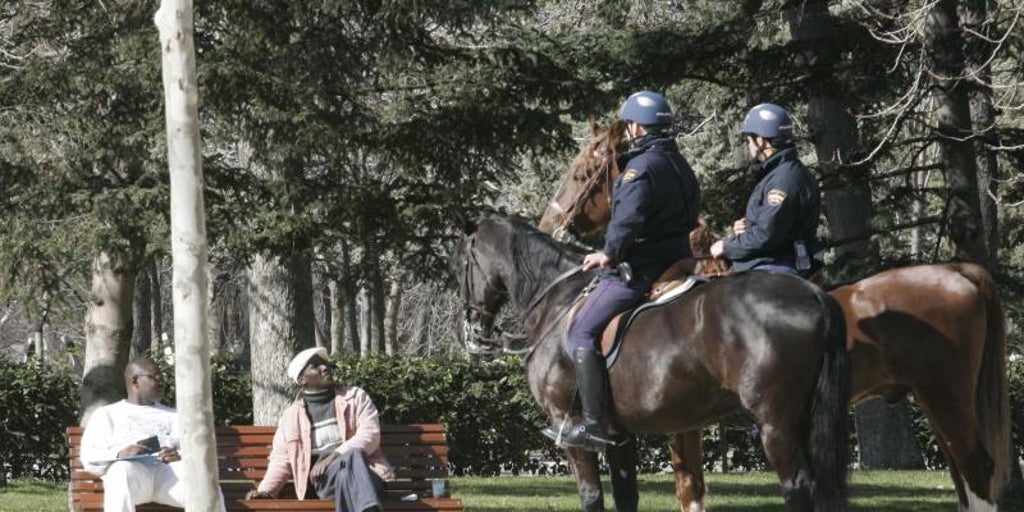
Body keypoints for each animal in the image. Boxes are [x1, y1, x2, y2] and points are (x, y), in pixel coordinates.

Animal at [456, 215, 847, 512]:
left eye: (463, 262)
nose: (472, 328)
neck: (558, 301)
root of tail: (812, 294)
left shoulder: (570, 429)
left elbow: (591, 497)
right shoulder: (619, 436)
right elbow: (626, 497)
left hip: (775, 425)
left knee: (796, 487)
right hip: (802, 421)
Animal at [536, 134, 1007, 509]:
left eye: (583, 173)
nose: (550, 221)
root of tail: (958, 270)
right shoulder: (677, 426)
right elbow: (686, 491)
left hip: (940, 397)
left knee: (975, 469)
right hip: (933, 401)